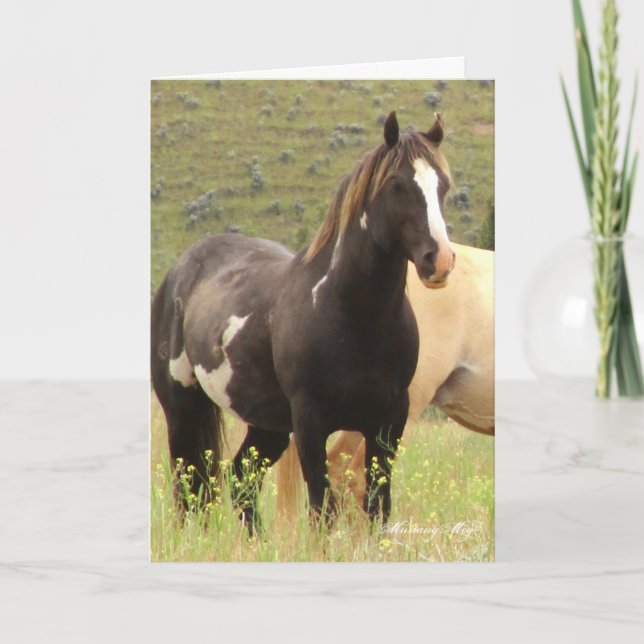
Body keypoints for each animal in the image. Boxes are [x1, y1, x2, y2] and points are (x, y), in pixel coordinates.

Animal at [151, 111, 455, 532]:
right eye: (396, 185)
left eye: (442, 185)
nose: (438, 261)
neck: (352, 320)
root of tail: (179, 271)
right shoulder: (311, 423)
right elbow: (322, 508)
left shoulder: (388, 421)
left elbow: (377, 507)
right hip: (182, 409)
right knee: (188, 489)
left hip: (268, 424)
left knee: (239, 480)